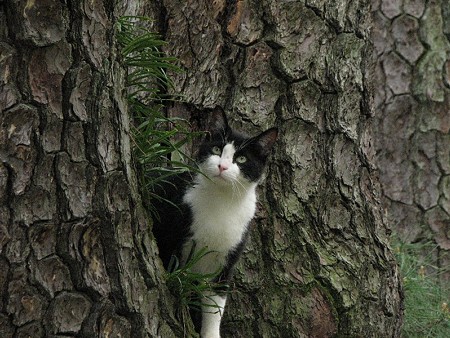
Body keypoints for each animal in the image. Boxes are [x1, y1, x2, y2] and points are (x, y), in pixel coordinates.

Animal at [152, 109, 278, 338]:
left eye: (242, 158)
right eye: (217, 149)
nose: (222, 166)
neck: (222, 201)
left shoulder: (227, 257)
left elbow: (216, 301)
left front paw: (211, 333)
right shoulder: (172, 226)